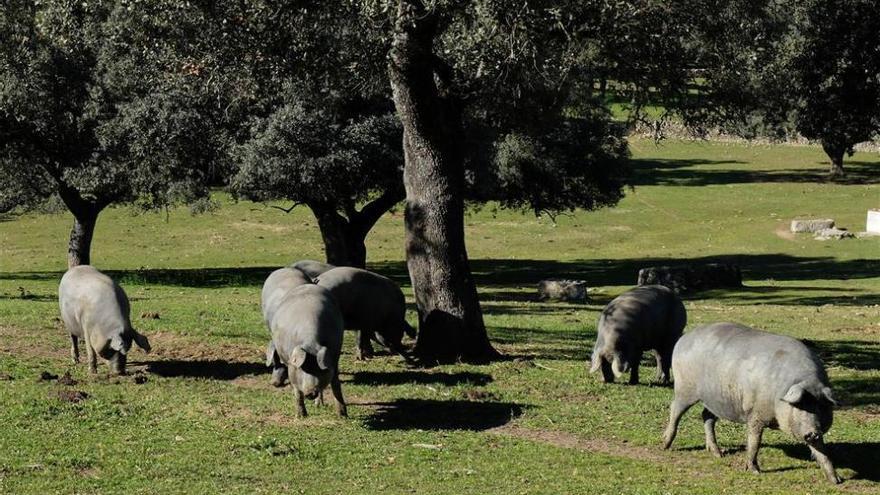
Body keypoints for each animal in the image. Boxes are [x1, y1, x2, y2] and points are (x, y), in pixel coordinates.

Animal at [268, 282, 348, 418]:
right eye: (303, 368)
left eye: (320, 370)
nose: (310, 392)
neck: (311, 343)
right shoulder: (291, 364)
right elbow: (297, 391)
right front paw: (301, 416)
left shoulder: (335, 356)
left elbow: (336, 383)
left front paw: (343, 415)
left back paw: (319, 405)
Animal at [664, 324, 844, 486]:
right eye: (800, 405)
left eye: (821, 407)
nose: (812, 433)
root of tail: (684, 338)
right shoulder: (756, 413)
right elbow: (754, 441)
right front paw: (755, 471)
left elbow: (822, 452)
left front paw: (836, 480)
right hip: (684, 388)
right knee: (675, 410)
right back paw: (665, 444)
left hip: (715, 399)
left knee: (706, 416)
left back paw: (718, 454)